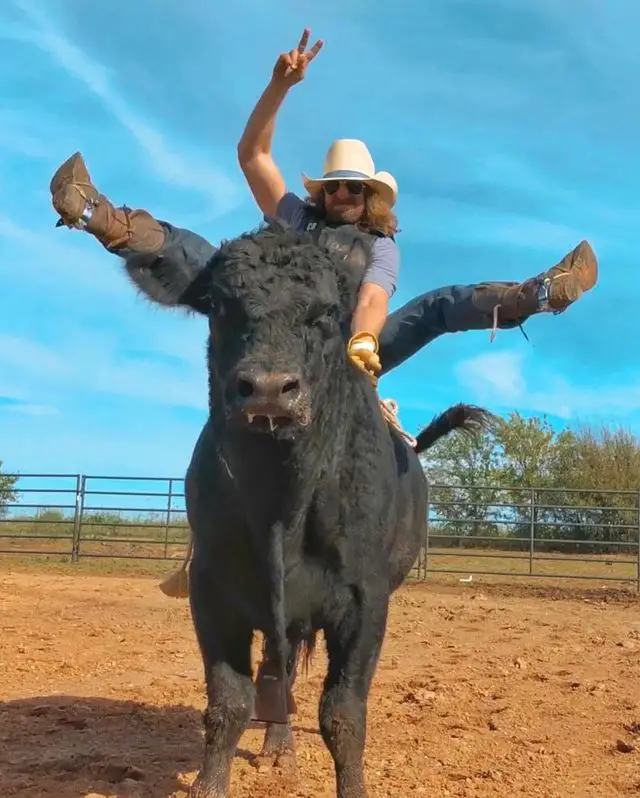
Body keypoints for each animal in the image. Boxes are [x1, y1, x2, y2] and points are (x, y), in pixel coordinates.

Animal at [126, 222, 496, 798]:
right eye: (218, 304)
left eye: (327, 312)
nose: (268, 389)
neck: (283, 503)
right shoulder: (213, 591)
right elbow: (230, 703)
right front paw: (212, 782)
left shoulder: (365, 603)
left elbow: (342, 714)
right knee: (276, 674)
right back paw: (279, 746)